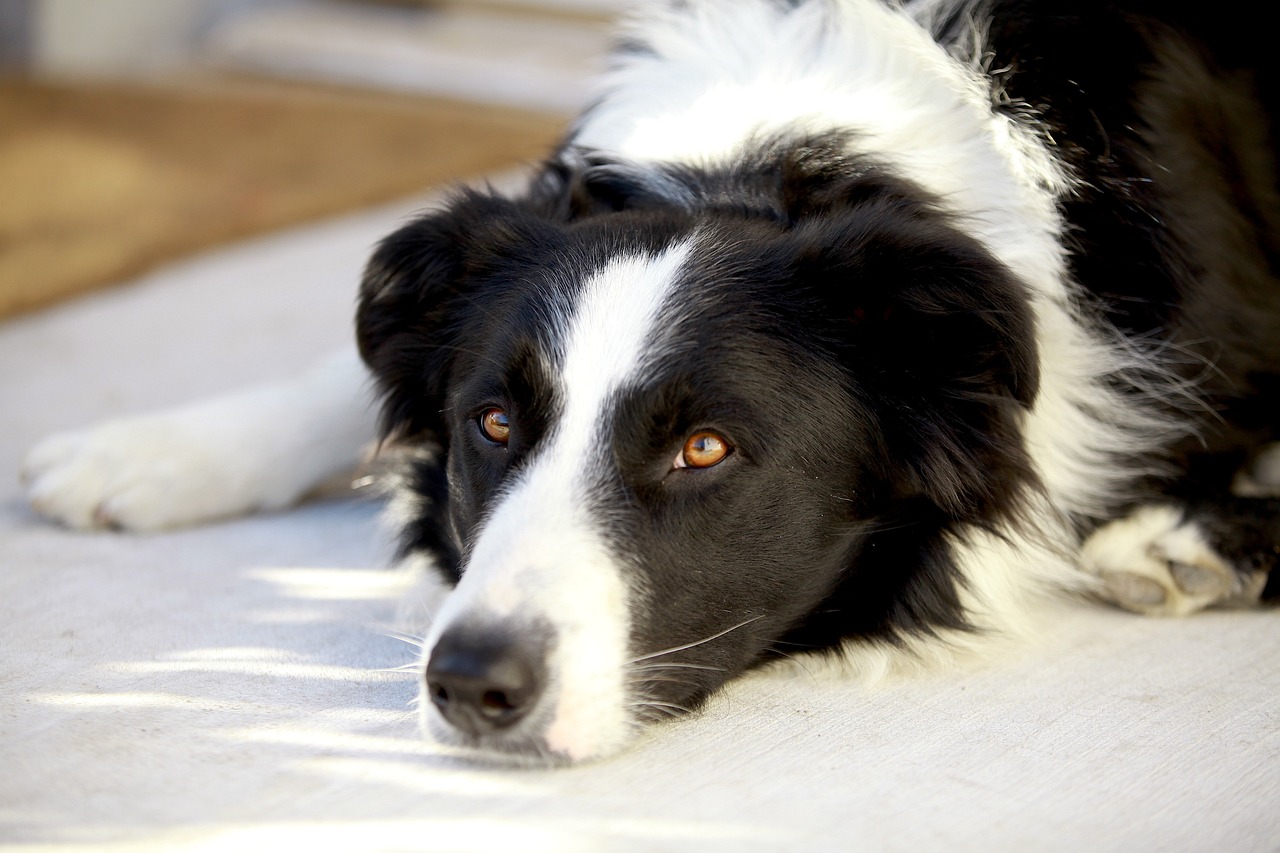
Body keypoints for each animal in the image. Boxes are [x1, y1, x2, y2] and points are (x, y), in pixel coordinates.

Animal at [20, 0, 1280, 758]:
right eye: (491, 422)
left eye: (703, 448)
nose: (471, 684)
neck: (755, 159)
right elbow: (344, 374)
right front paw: (148, 453)